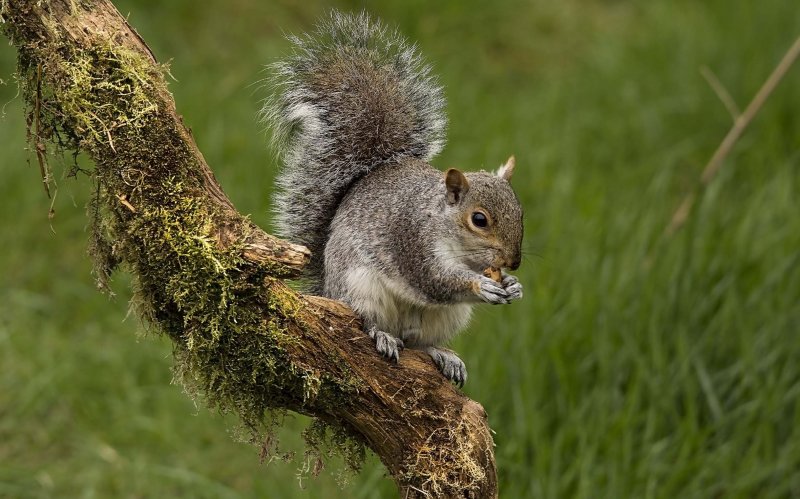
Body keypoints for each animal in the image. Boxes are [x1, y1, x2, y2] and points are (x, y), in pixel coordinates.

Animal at [264, 11, 524, 386]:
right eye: (479, 219)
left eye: (520, 211)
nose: (514, 262)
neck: (441, 221)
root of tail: (328, 287)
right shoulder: (412, 243)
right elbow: (436, 280)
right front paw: (480, 286)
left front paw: (514, 285)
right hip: (361, 289)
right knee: (370, 323)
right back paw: (384, 336)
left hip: (445, 318)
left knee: (419, 344)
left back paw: (443, 355)